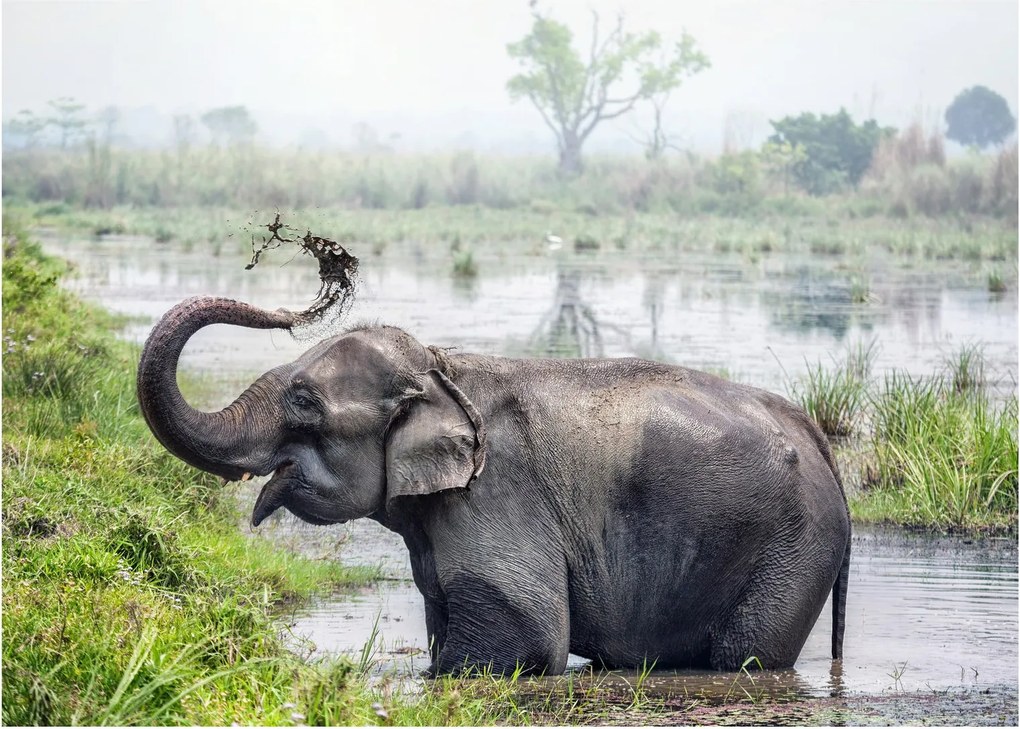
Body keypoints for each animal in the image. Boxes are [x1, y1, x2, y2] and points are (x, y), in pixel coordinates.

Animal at [137, 295, 851, 676]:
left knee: (748, 658)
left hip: (792, 550)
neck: (442, 369)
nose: (290, 309)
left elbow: (528, 636)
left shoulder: (493, 496)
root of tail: (816, 435)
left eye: (305, 400)